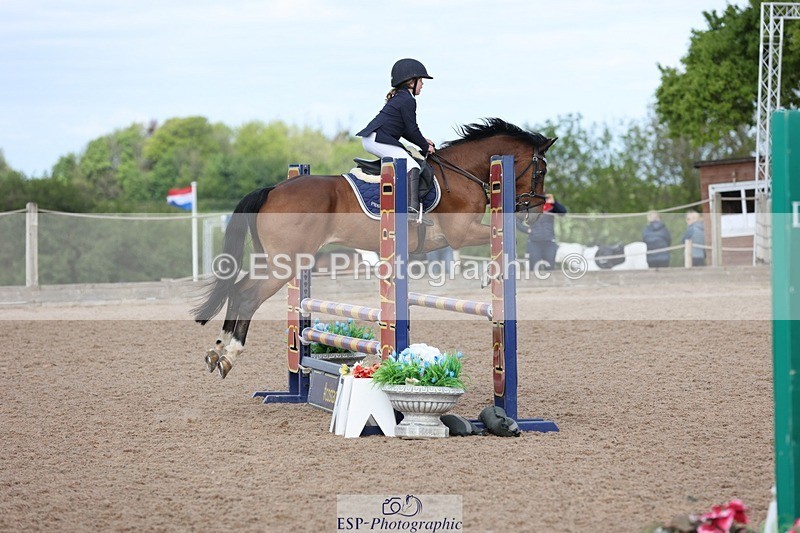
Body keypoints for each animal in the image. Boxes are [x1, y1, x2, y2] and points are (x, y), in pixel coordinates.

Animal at [194, 118, 557, 378]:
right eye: (541, 170)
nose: (535, 211)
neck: (463, 174)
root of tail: (272, 190)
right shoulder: (461, 234)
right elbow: (501, 240)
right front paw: (489, 275)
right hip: (287, 262)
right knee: (247, 295)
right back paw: (229, 355)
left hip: (279, 260)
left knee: (237, 288)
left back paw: (217, 350)